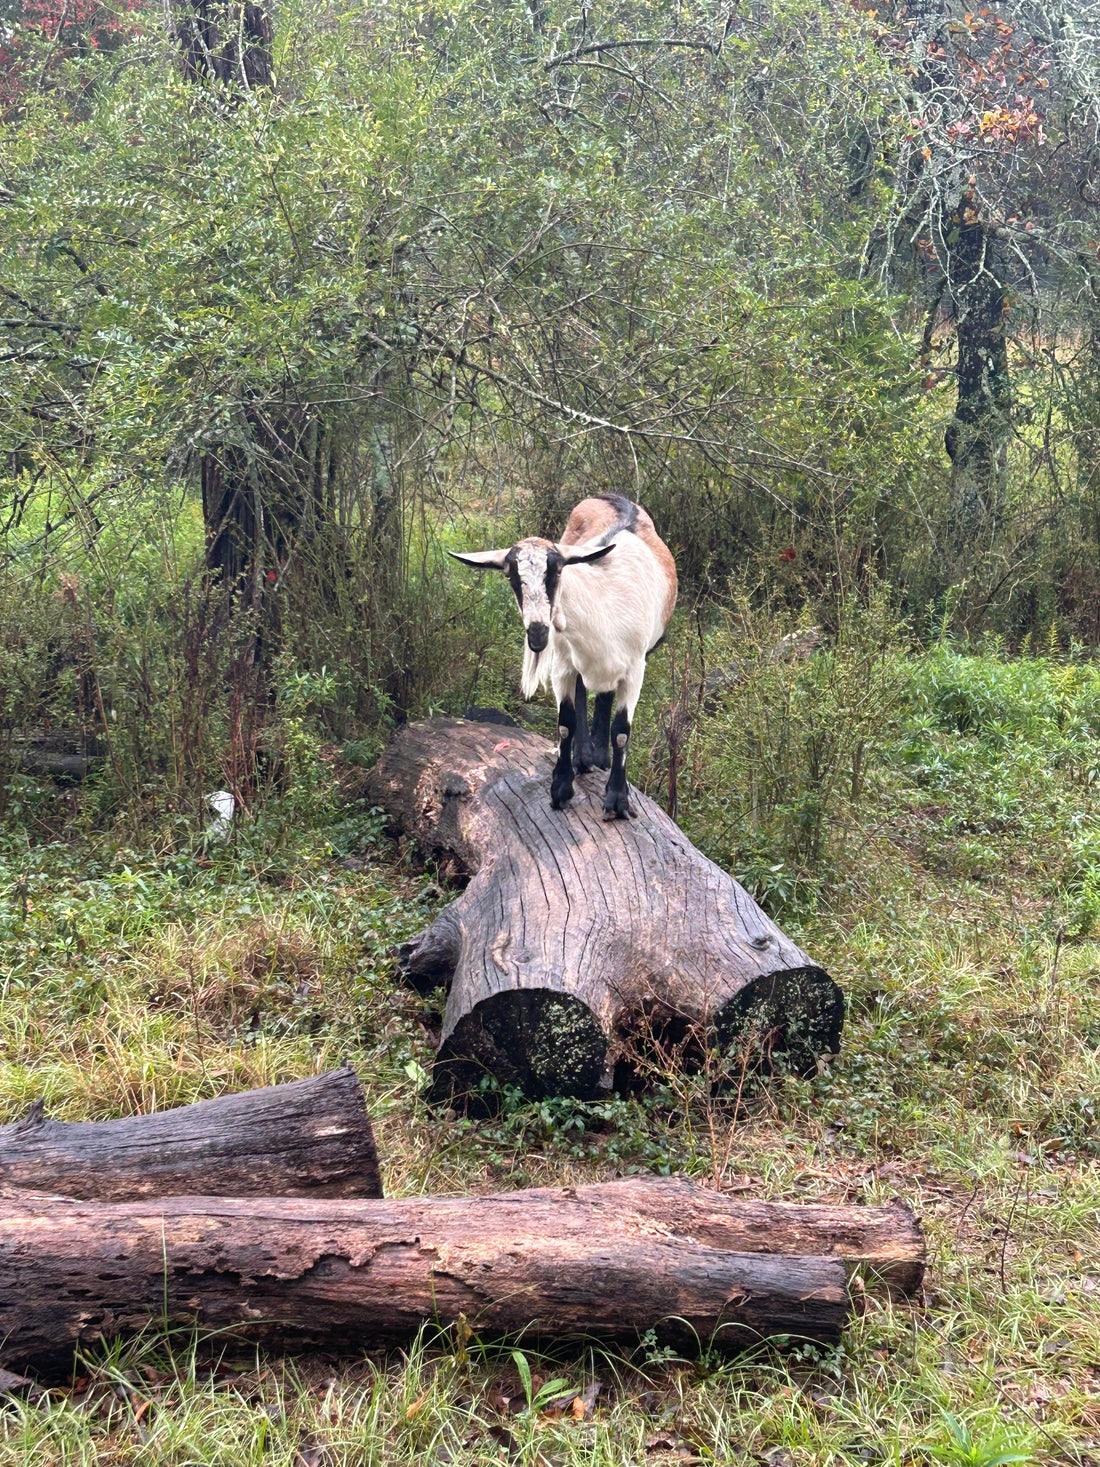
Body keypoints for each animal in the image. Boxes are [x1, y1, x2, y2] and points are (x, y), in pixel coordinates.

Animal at [450, 494, 677, 818]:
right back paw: (584, 757)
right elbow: (565, 723)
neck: (602, 606)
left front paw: (617, 800)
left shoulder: (636, 668)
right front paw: (561, 789)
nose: (537, 633)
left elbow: (621, 732)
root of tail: (611, 497)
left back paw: (599, 757)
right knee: (584, 690)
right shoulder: (563, 664)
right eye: (511, 577)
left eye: (556, 572)